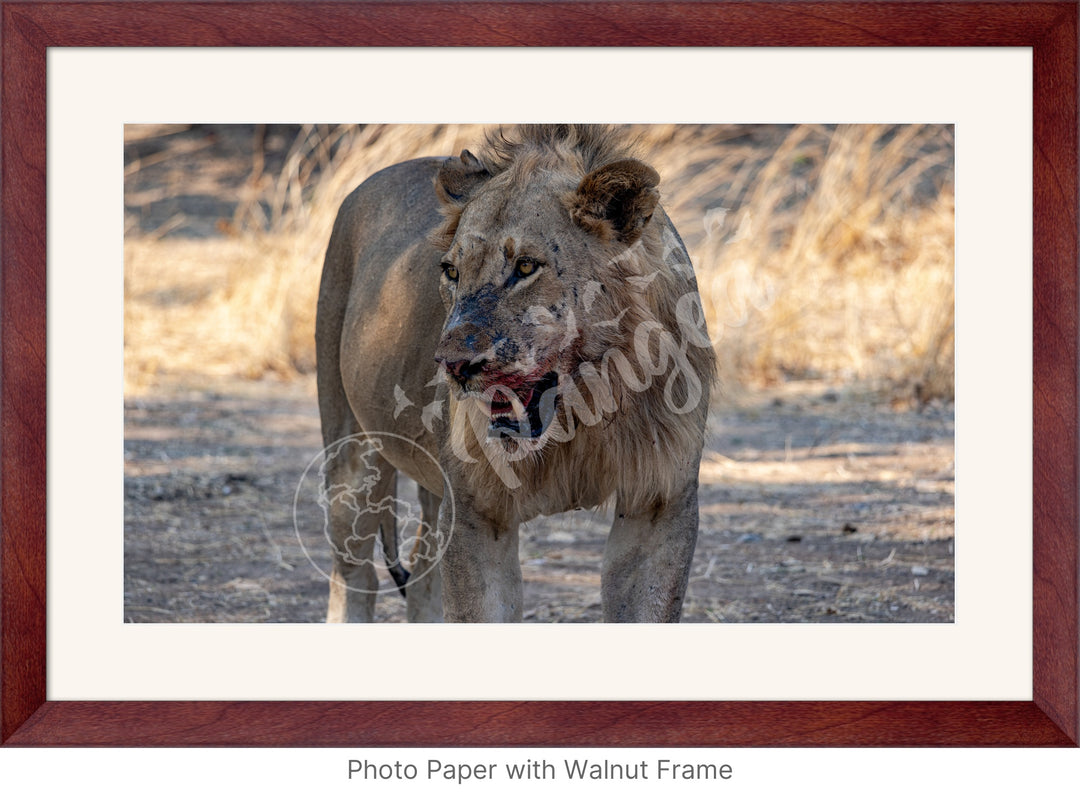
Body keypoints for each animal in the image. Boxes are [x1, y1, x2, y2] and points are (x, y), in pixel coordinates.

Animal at [315, 126, 712, 626]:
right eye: (451, 271)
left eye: (525, 267)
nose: (453, 366)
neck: (585, 411)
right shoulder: (476, 512)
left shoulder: (660, 504)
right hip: (351, 452)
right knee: (353, 576)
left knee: (422, 570)